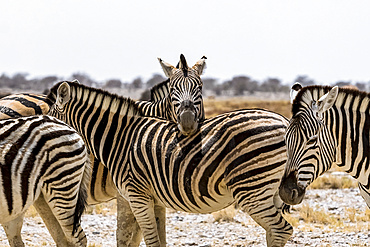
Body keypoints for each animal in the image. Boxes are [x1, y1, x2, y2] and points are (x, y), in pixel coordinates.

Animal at [47, 81, 294, 247]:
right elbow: (157, 239)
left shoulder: (137, 195)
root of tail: (284, 121)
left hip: (251, 189)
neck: (120, 138)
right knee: (275, 232)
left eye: (50, 116)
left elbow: (150, 240)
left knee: (281, 230)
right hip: (270, 192)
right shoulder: (154, 198)